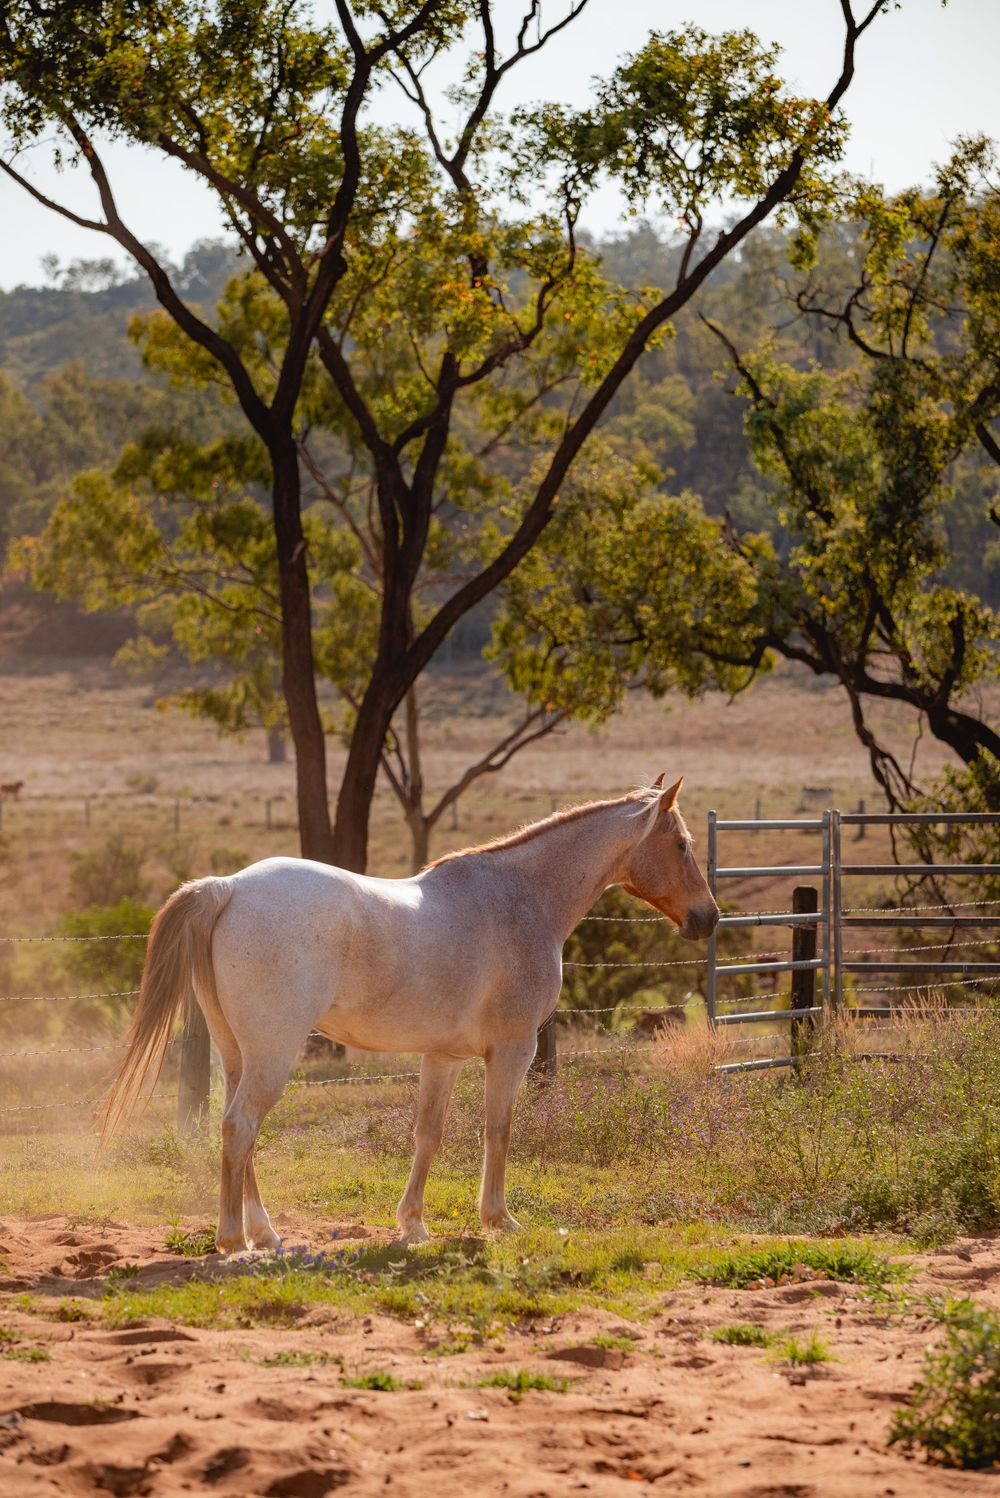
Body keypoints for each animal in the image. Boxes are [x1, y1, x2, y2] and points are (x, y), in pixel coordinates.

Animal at [102, 774, 718, 1252]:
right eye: (682, 844)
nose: (707, 918)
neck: (520, 899)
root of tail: (226, 886)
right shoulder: (514, 1050)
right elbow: (499, 1130)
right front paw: (499, 1220)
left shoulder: (441, 1057)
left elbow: (429, 1135)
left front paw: (413, 1226)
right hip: (272, 1055)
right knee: (239, 1128)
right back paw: (233, 1240)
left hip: (238, 1056)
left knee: (241, 1134)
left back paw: (265, 1233)